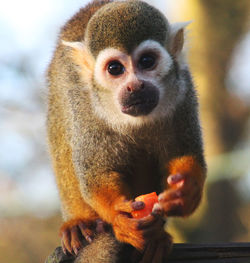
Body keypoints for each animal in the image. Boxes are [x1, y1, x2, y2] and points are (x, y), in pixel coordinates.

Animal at [46, 0, 205, 263]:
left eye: (147, 61)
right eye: (115, 68)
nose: (135, 86)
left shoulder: (183, 89)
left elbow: (185, 153)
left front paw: (186, 191)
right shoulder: (87, 105)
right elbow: (96, 174)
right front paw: (120, 218)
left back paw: (156, 233)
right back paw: (79, 223)